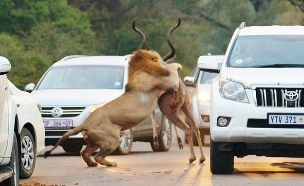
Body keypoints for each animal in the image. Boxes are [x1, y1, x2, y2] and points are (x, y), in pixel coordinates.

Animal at [44, 49, 182, 167]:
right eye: (156, 58)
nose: (164, 64)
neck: (139, 70)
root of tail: (86, 123)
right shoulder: (168, 81)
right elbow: (174, 71)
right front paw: (177, 65)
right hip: (112, 139)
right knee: (98, 156)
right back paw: (110, 163)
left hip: (95, 141)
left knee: (85, 153)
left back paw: (92, 164)